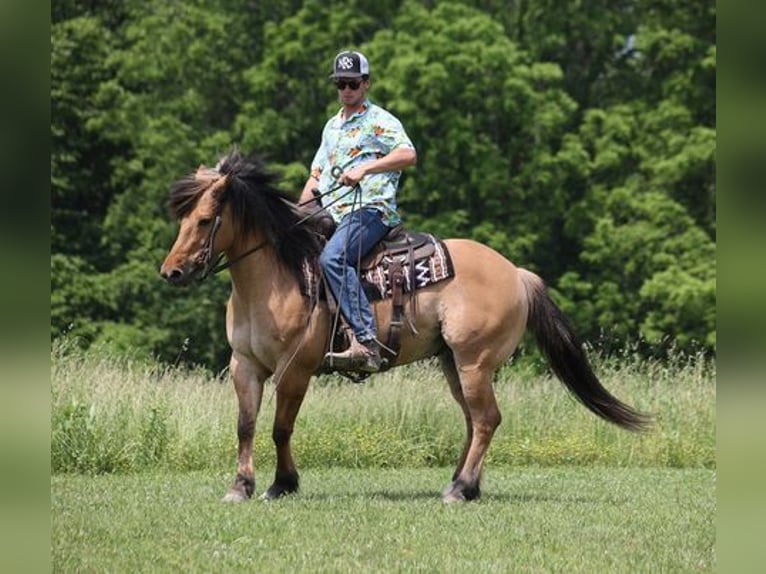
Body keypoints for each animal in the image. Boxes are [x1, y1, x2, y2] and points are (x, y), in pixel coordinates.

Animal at [159, 150, 652, 504]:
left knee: (486, 419)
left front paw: (283, 484)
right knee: (473, 421)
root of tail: (516, 273)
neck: (278, 275)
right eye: (182, 219)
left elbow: (281, 427)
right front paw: (240, 487)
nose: (172, 272)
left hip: (474, 362)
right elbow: (245, 425)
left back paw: (460, 490)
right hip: (455, 364)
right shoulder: (244, 365)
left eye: (205, 220)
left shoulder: (295, 367)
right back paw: (464, 485)